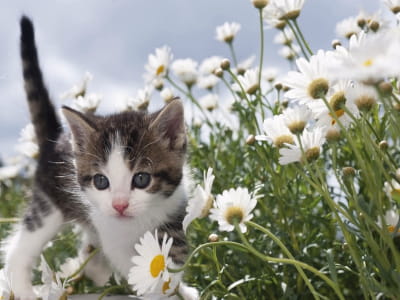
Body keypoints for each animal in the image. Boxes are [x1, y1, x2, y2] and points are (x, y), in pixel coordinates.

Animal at [1, 15, 198, 300]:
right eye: (100, 181)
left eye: (142, 179)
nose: (119, 206)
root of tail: (56, 138)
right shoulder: (111, 233)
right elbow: (139, 269)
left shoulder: (172, 212)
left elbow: (171, 259)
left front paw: (180, 289)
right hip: (48, 204)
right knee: (20, 247)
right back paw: (25, 290)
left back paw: (94, 269)